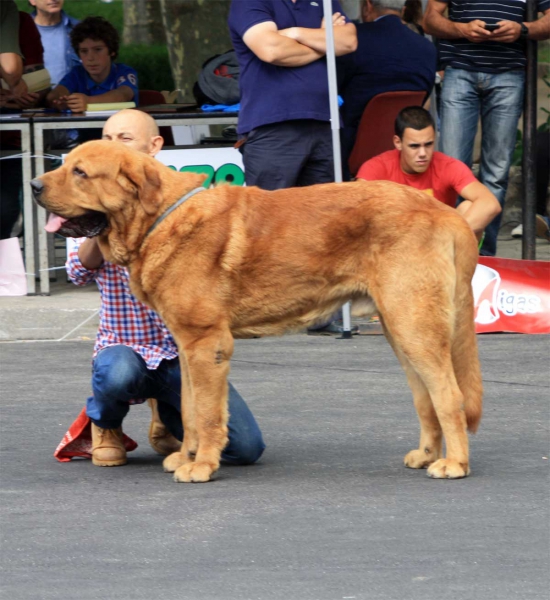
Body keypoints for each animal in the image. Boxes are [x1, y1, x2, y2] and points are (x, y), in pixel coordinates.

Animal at [31, 141, 484, 482]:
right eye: (65, 165)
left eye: (80, 173)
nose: (34, 184)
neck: (159, 218)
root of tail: (444, 210)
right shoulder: (188, 346)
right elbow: (190, 409)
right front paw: (187, 456)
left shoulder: (207, 343)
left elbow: (208, 414)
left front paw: (203, 466)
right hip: (402, 331)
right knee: (426, 399)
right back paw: (427, 454)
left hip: (414, 327)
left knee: (450, 396)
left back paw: (455, 464)